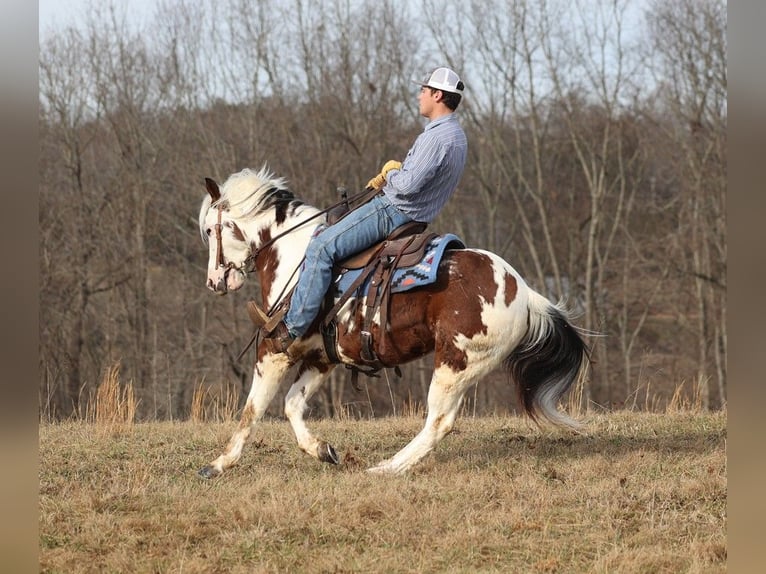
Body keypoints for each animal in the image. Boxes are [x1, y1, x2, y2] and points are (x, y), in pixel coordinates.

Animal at [195, 165, 592, 476]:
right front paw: (322, 450)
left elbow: (252, 409)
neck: (295, 256)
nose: (214, 282)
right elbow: (293, 405)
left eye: (211, 230)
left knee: (439, 422)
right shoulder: (321, 358)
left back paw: (387, 467)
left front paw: (218, 464)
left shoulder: (275, 349)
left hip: (455, 363)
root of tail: (524, 293)